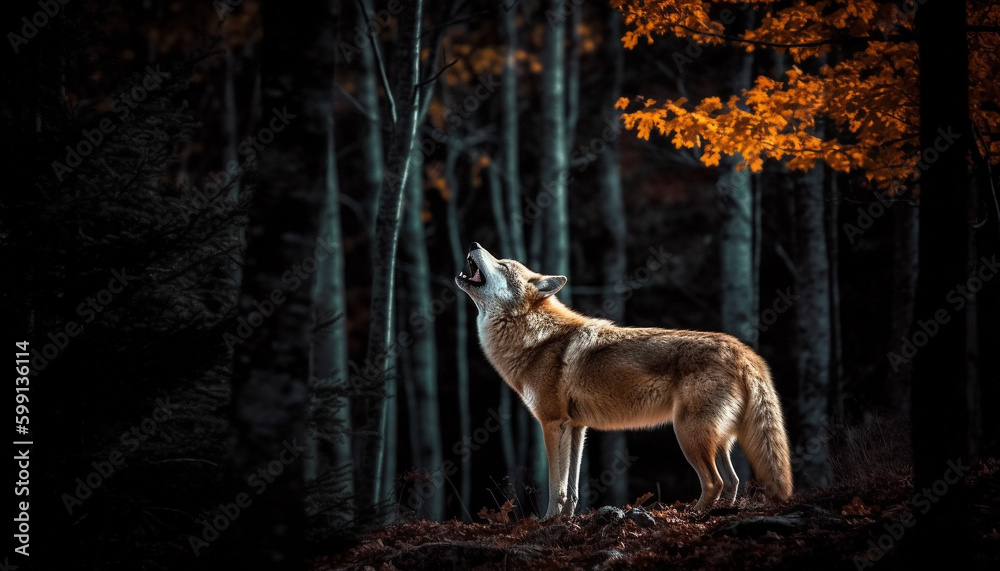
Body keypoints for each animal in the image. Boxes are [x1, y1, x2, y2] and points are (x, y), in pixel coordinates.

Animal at [458, 244, 792, 520]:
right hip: (714, 439)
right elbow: (573, 487)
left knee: (715, 482)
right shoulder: (576, 428)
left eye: (502, 264)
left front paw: (547, 522)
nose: (474, 243)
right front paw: (566, 520)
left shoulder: (552, 423)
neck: (534, 337)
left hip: (688, 434)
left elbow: (556, 485)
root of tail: (744, 351)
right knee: (732, 481)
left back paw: (691, 516)